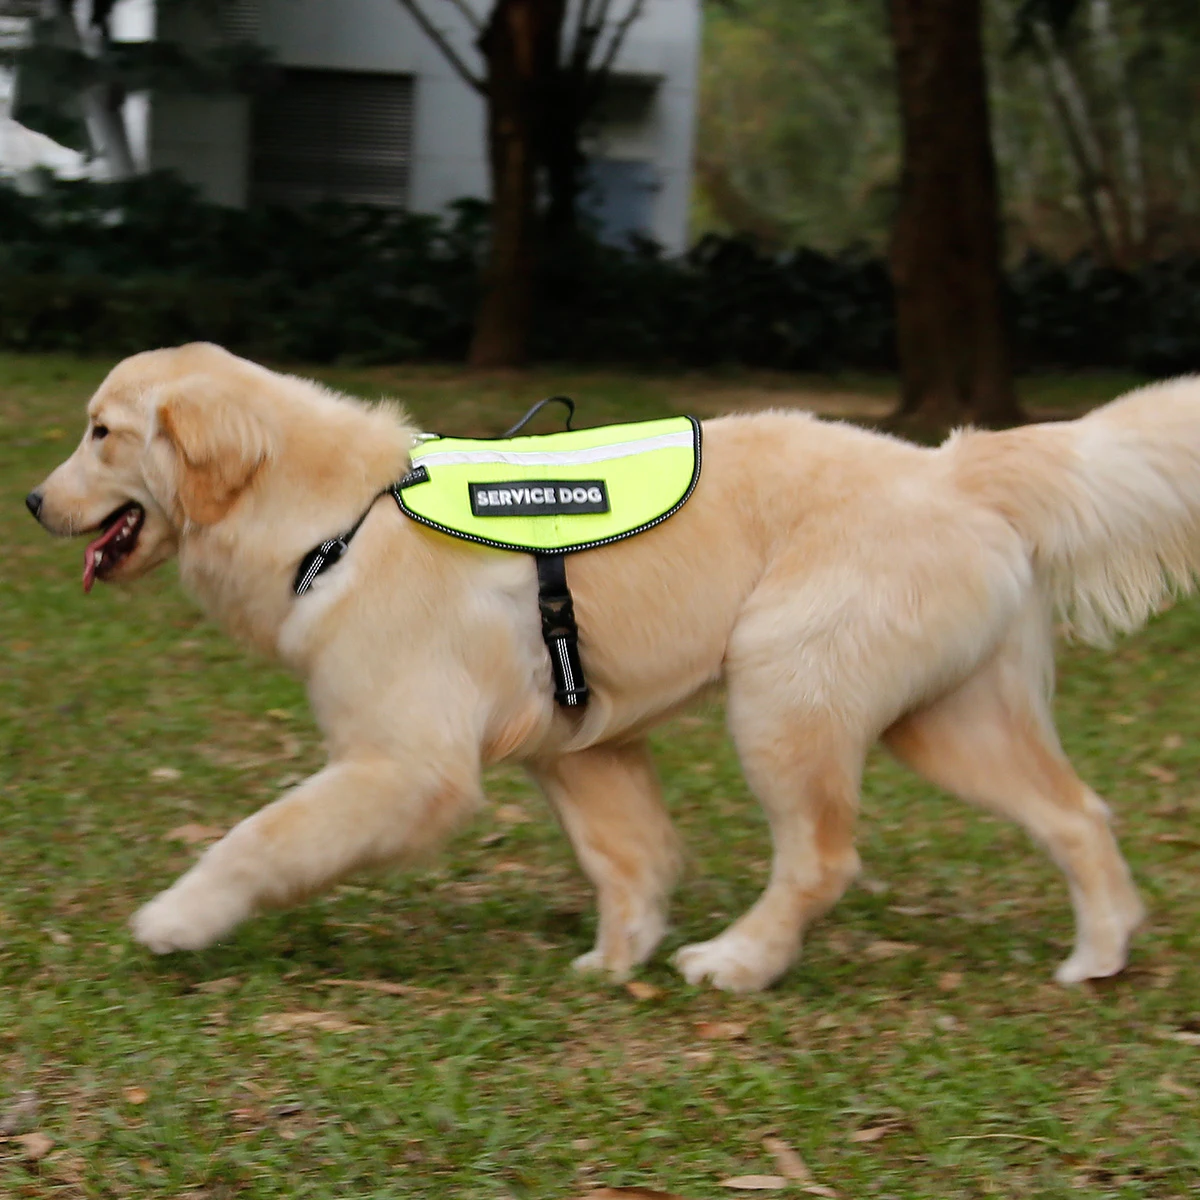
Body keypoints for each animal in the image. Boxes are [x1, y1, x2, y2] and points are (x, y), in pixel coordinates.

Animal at [26, 343, 1200, 991]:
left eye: (101, 434)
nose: (33, 502)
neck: (337, 514)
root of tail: (957, 463)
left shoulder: (404, 767)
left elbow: (259, 840)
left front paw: (177, 919)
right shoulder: (580, 745)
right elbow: (630, 860)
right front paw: (614, 962)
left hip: (785, 687)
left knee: (822, 858)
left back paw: (740, 963)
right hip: (953, 722)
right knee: (1077, 815)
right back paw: (1098, 956)